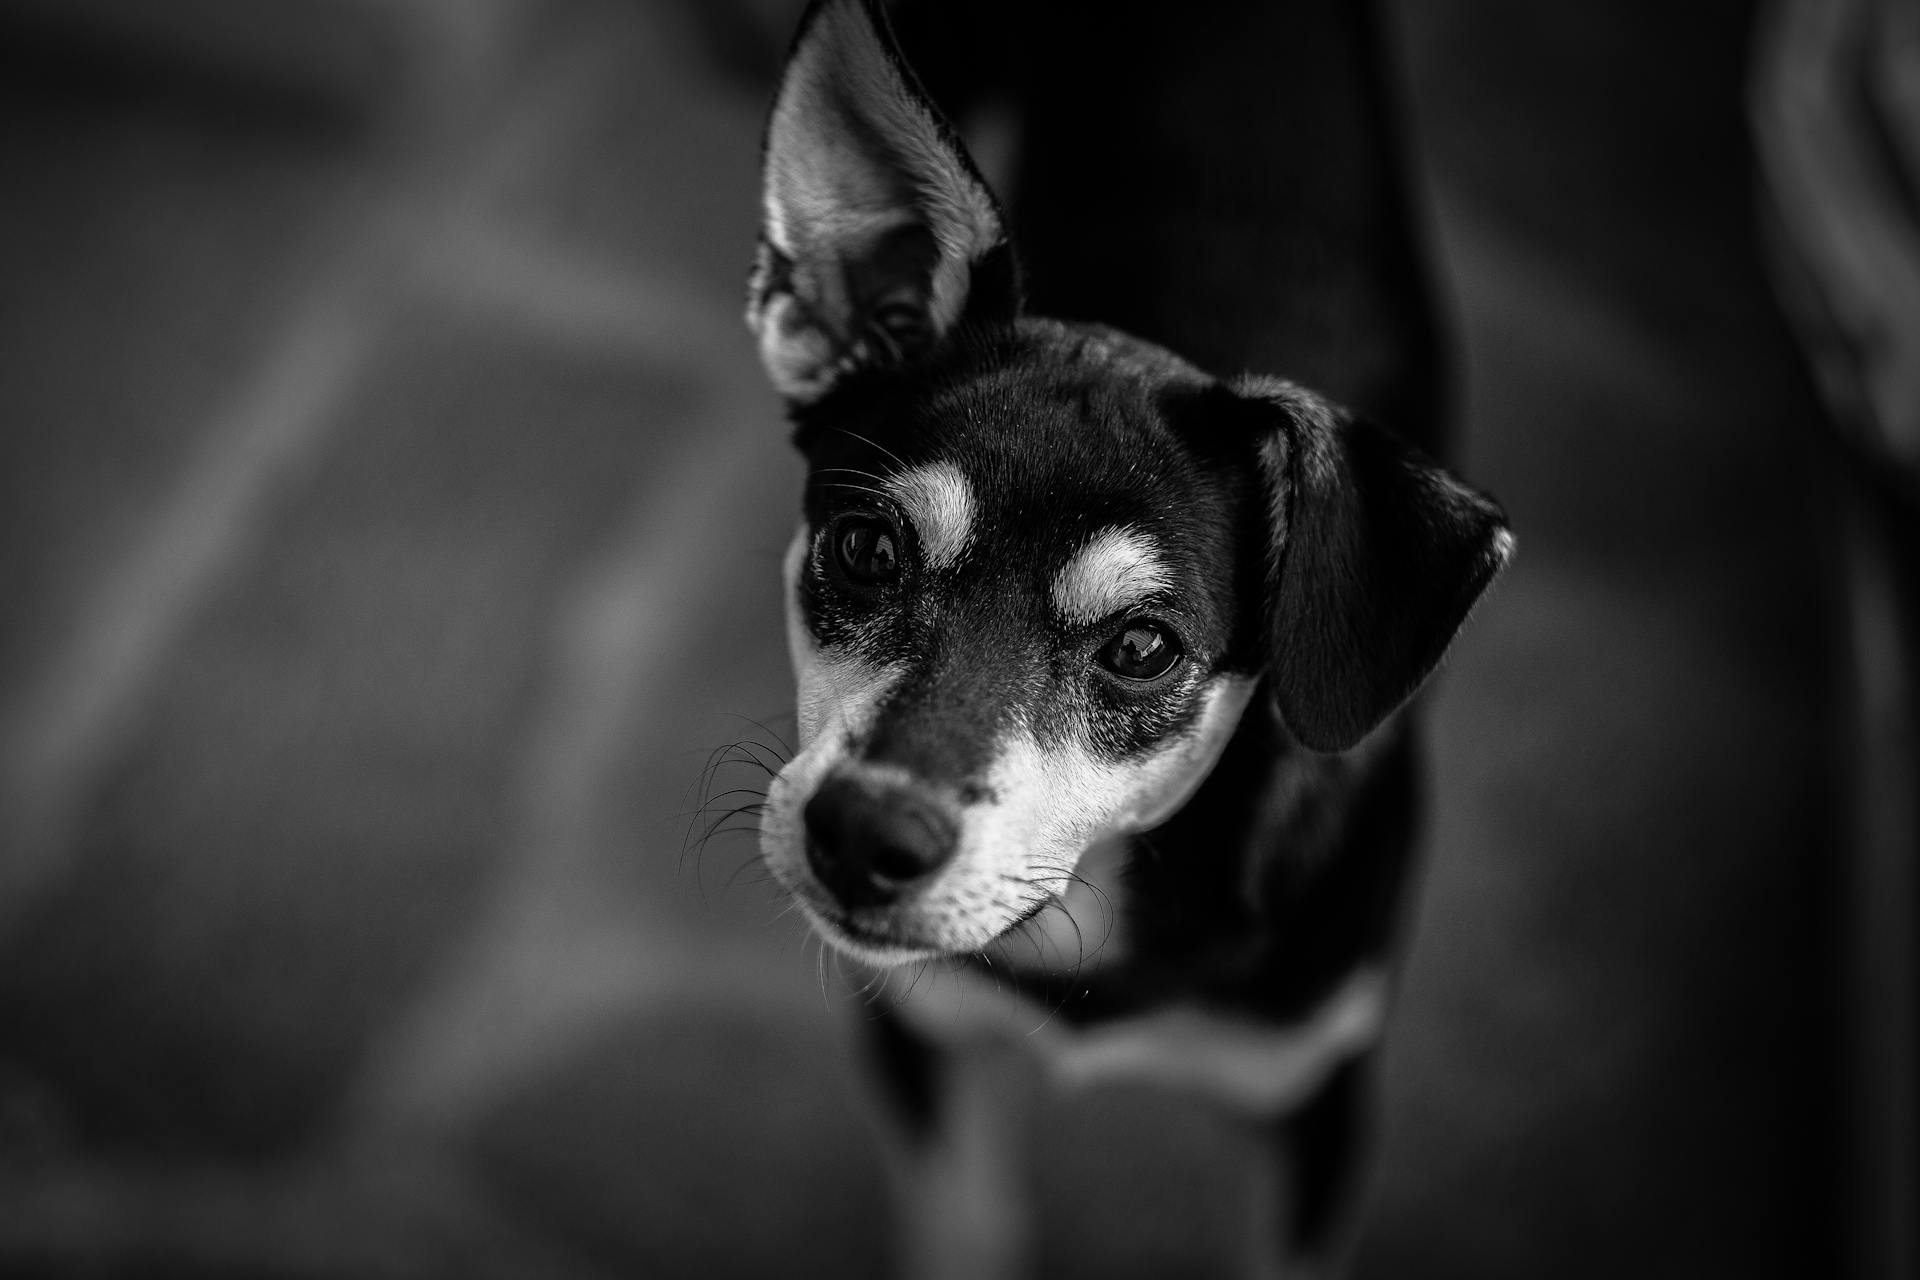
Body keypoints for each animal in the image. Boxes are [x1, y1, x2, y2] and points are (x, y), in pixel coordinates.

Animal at [741, 2, 1505, 1274]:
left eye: (1144, 649)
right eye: (864, 548)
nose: (863, 834)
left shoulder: (1319, 1101)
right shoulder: (922, 1041)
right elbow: (968, 1226)